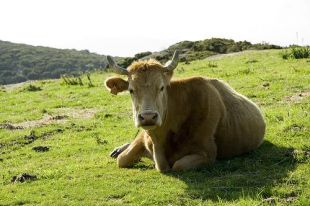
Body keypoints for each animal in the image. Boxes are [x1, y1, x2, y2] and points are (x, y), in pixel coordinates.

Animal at [105, 51, 266, 172]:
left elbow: (178, 165)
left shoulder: (207, 153)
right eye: (131, 90)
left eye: (162, 87)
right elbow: (122, 159)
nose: (148, 117)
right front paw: (121, 152)